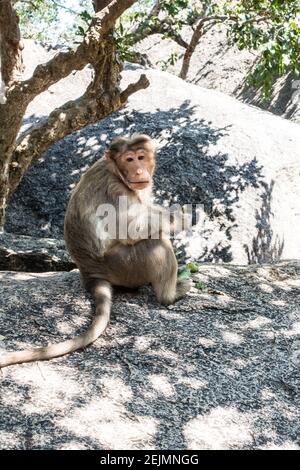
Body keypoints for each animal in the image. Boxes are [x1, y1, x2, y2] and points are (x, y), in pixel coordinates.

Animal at [0, 133, 191, 368]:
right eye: (129, 160)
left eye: (141, 157)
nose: (139, 171)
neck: (116, 172)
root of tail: (90, 273)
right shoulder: (115, 190)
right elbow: (130, 230)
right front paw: (182, 216)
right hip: (123, 266)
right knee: (156, 242)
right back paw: (170, 296)